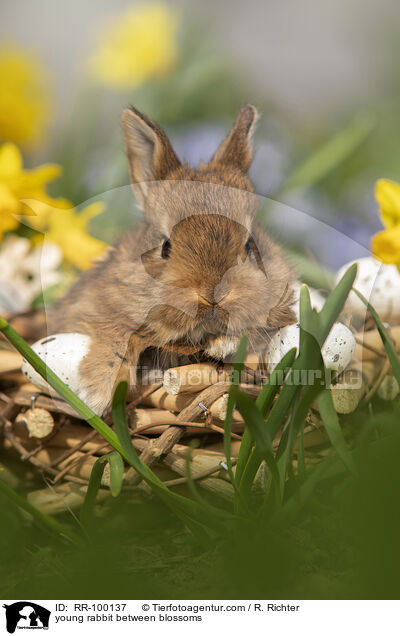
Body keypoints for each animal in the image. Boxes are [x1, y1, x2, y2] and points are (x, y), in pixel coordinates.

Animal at [47, 103, 296, 414]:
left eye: (250, 246)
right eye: (165, 246)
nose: (214, 295)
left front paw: (223, 344)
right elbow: (113, 334)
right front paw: (95, 395)